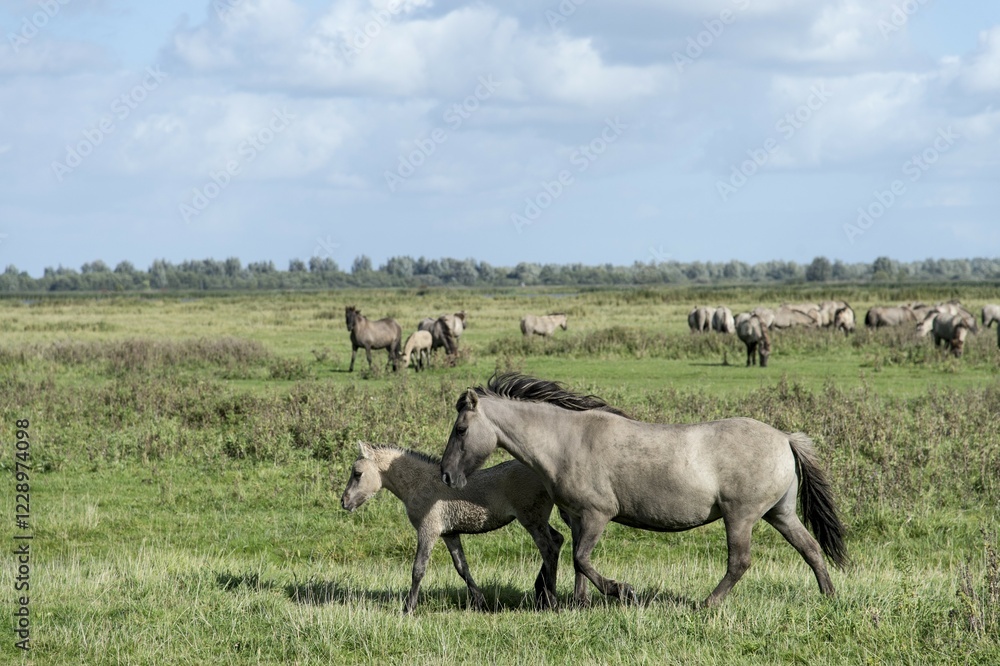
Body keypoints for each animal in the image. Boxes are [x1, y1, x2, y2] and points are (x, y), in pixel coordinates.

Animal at [341, 442, 564, 614]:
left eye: (357, 473)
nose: (344, 502)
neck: (421, 483)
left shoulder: (428, 531)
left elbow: (418, 569)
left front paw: (408, 608)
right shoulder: (450, 534)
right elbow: (462, 567)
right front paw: (480, 602)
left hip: (532, 520)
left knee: (549, 549)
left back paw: (551, 601)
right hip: (538, 521)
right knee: (558, 540)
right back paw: (542, 592)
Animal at [440, 373, 848, 608]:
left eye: (460, 429)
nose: (445, 475)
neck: (565, 441)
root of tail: (785, 437)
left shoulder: (597, 514)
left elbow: (582, 559)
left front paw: (622, 591)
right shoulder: (576, 517)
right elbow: (576, 561)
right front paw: (578, 603)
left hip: (741, 516)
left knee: (740, 562)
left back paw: (707, 604)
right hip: (781, 513)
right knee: (811, 549)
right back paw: (829, 596)